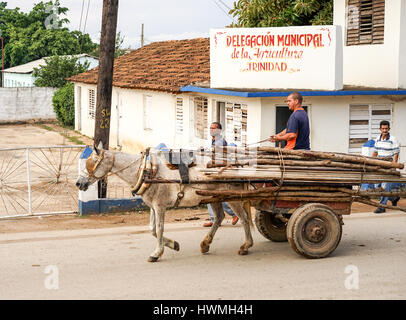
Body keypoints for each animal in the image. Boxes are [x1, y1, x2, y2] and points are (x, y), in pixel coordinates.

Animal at [76, 143, 254, 262]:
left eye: (93, 162)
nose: (78, 183)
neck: (146, 170)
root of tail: (235, 164)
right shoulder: (153, 207)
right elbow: (153, 230)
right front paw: (173, 244)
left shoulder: (160, 206)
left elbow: (159, 229)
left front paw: (157, 253)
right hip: (213, 197)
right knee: (219, 217)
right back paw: (205, 244)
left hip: (232, 197)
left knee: (244, 218)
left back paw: (246, 245)